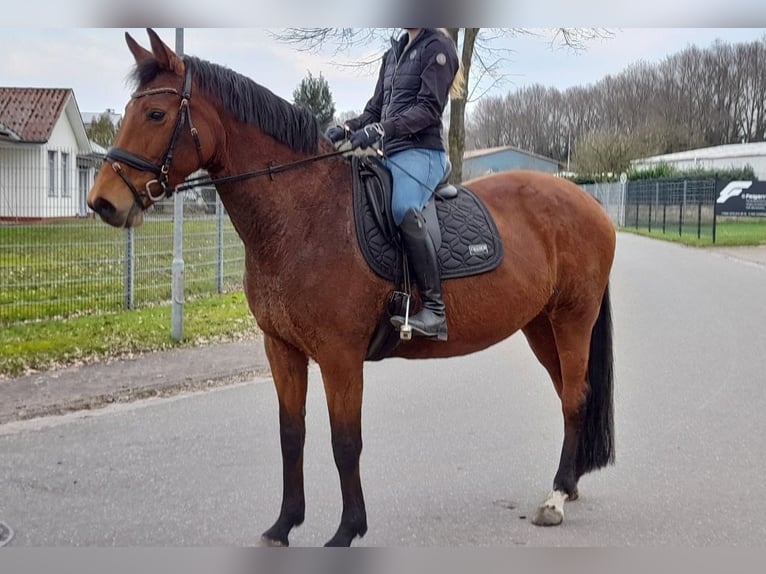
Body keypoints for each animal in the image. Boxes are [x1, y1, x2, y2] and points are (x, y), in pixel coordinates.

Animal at [87, 28, 620, 548]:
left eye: (156, 113)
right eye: (129, 112)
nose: (102, 203)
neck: (305, 216)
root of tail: (587, 202)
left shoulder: (339, 356)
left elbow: (345, 442)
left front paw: (347, 530)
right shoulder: (282, 349)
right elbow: (291, 435)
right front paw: (284, 525)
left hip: (573, 319)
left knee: (574, 396)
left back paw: (555, 499)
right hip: (540, 325)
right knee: (569, 393)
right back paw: (569, 485)